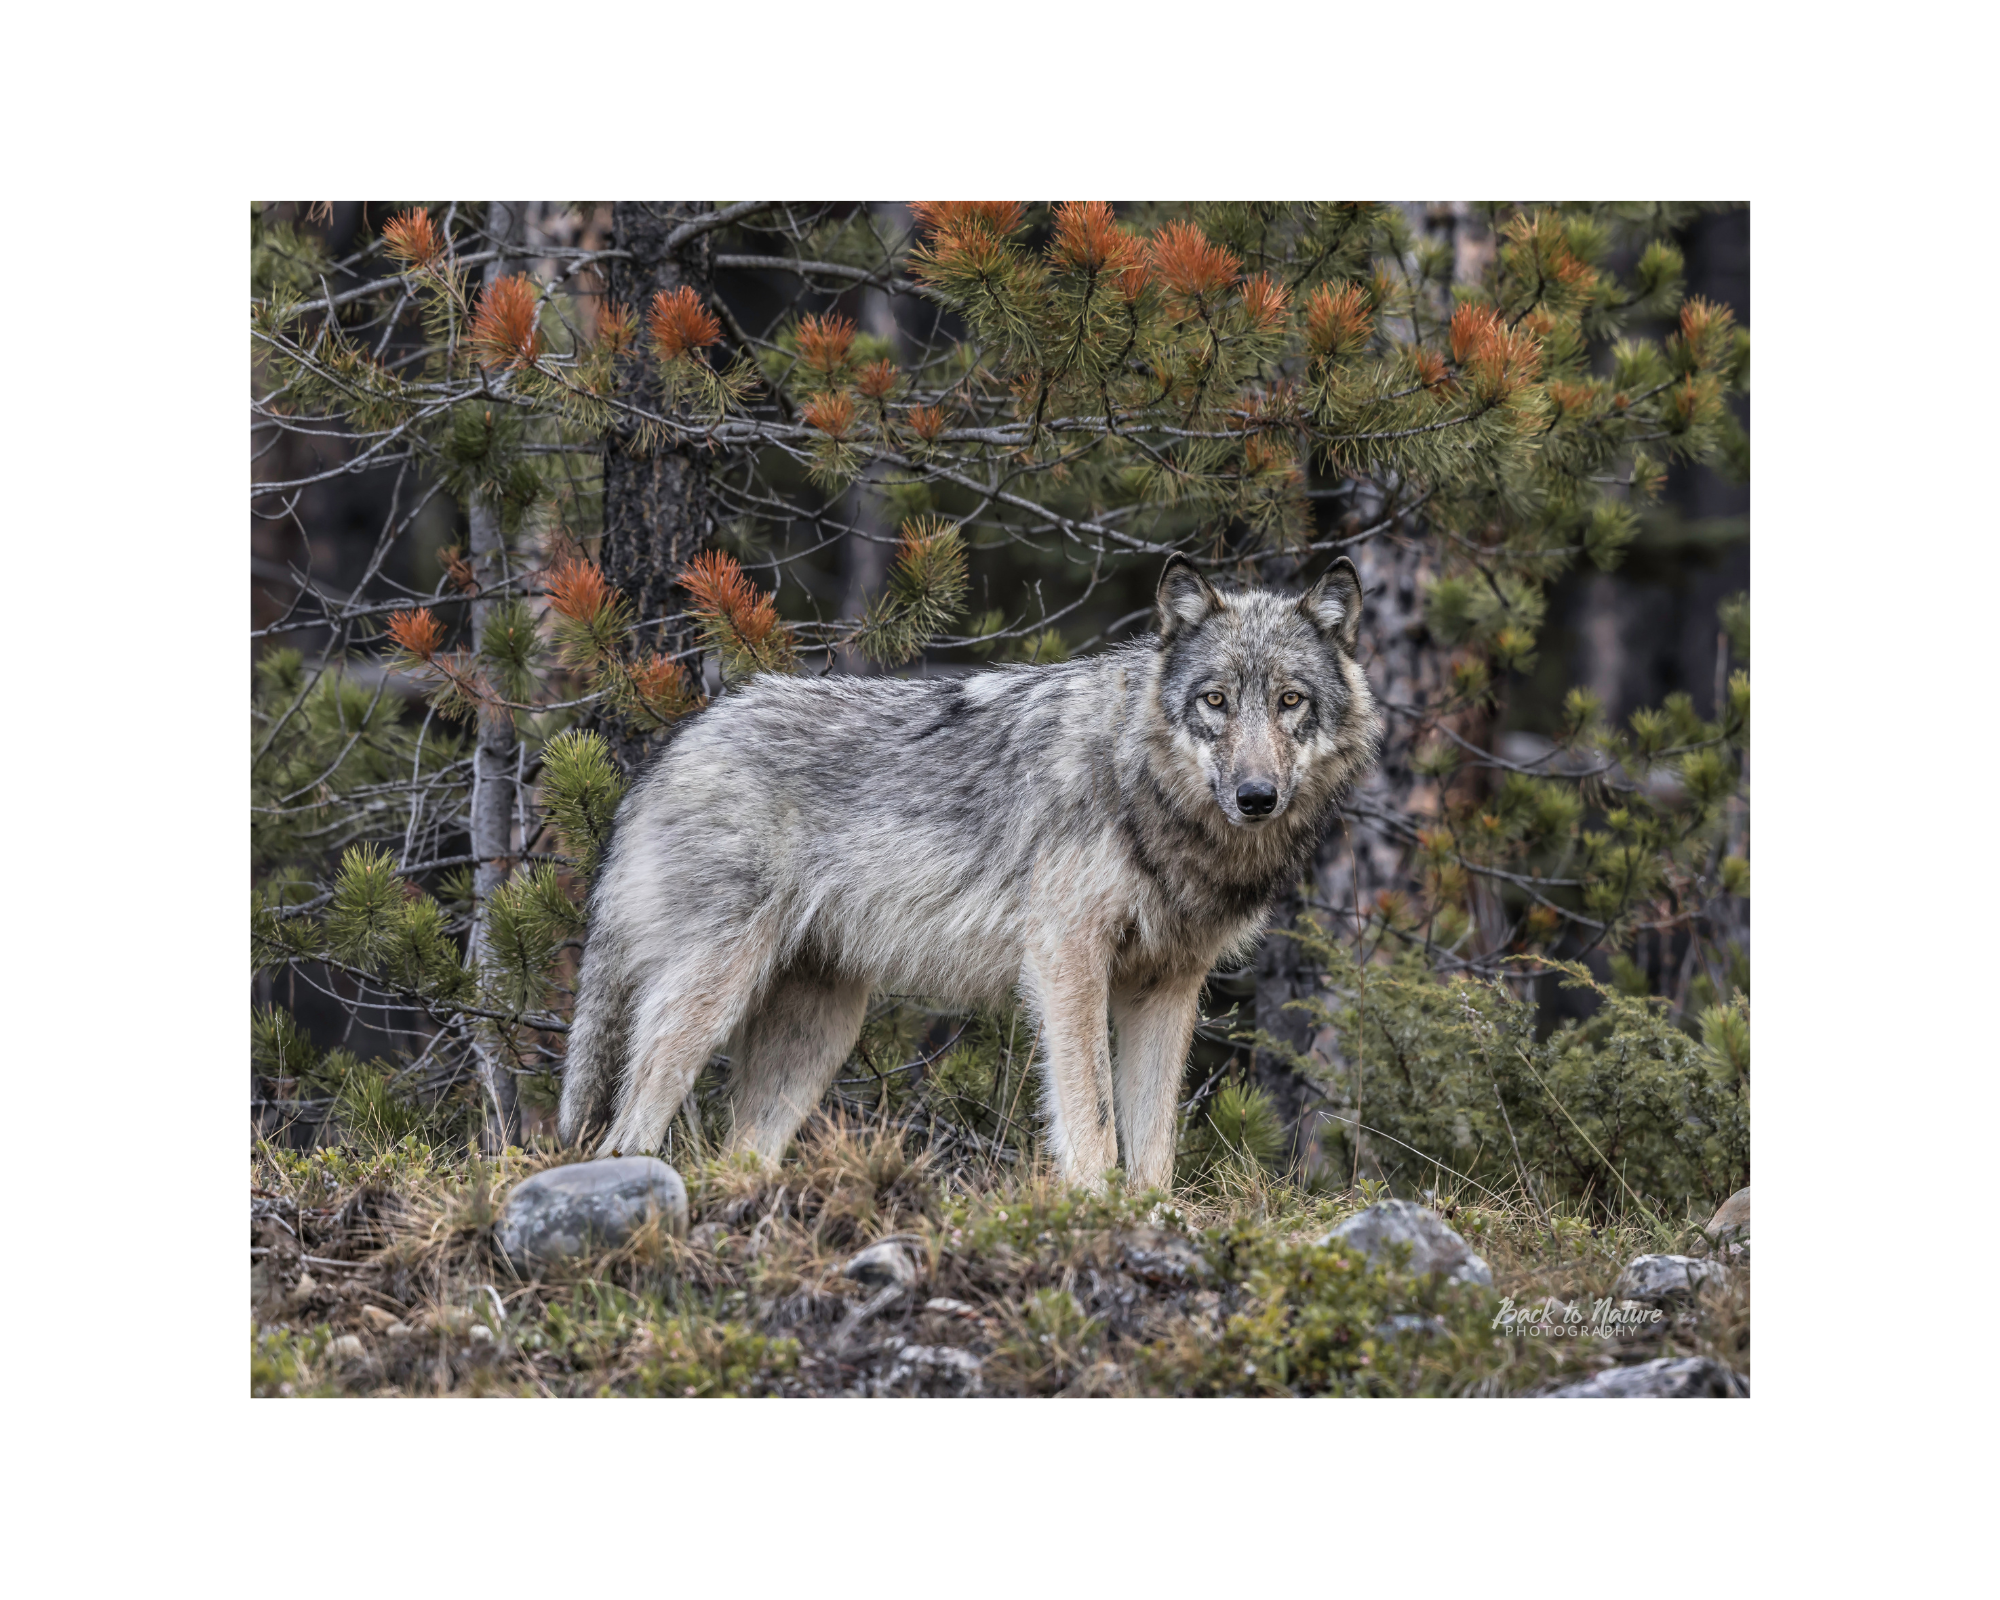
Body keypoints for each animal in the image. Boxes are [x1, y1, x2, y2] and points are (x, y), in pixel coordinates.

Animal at [560, 552, 1376, 1184]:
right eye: (1215, 701)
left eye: (1290, 701)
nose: (1256, 797)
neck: (1141, 785)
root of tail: (669, 750)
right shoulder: (1066, 958)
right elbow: (1094, 1119)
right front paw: (1095, 1206)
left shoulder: (1168, 986)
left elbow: (1153, 1145)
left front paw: (1151, 1215)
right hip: (711, 998)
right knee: (625, 1129)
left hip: (818, 1034)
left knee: (741, 1153)